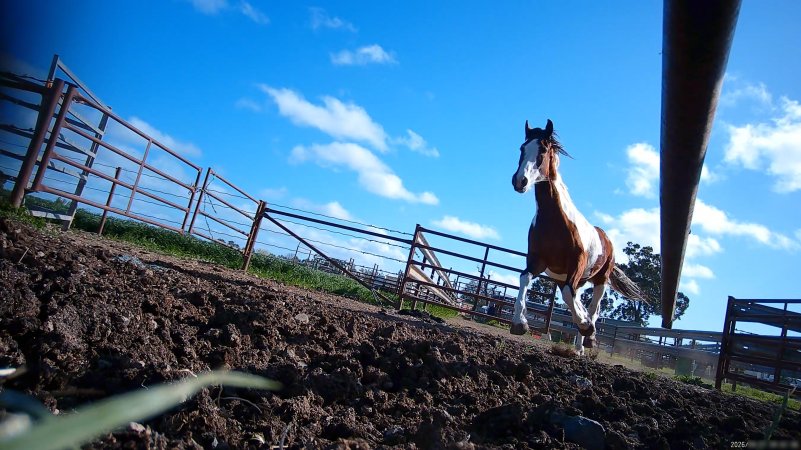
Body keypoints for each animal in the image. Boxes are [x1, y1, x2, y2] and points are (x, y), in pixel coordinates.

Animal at [510, 119, 647, 354]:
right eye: (522, 148)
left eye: (543, 150)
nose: (520, 181)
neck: (554, 221)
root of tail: (607, 238)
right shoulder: (537, 261)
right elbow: (524, 278)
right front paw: (520, 323)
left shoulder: (576, 263)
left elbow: (569, 296)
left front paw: (586, 326)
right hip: (574, 279)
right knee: (577, 299)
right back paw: (580, 346)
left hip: (600, 280)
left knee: (593, 307)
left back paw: (588, 336)